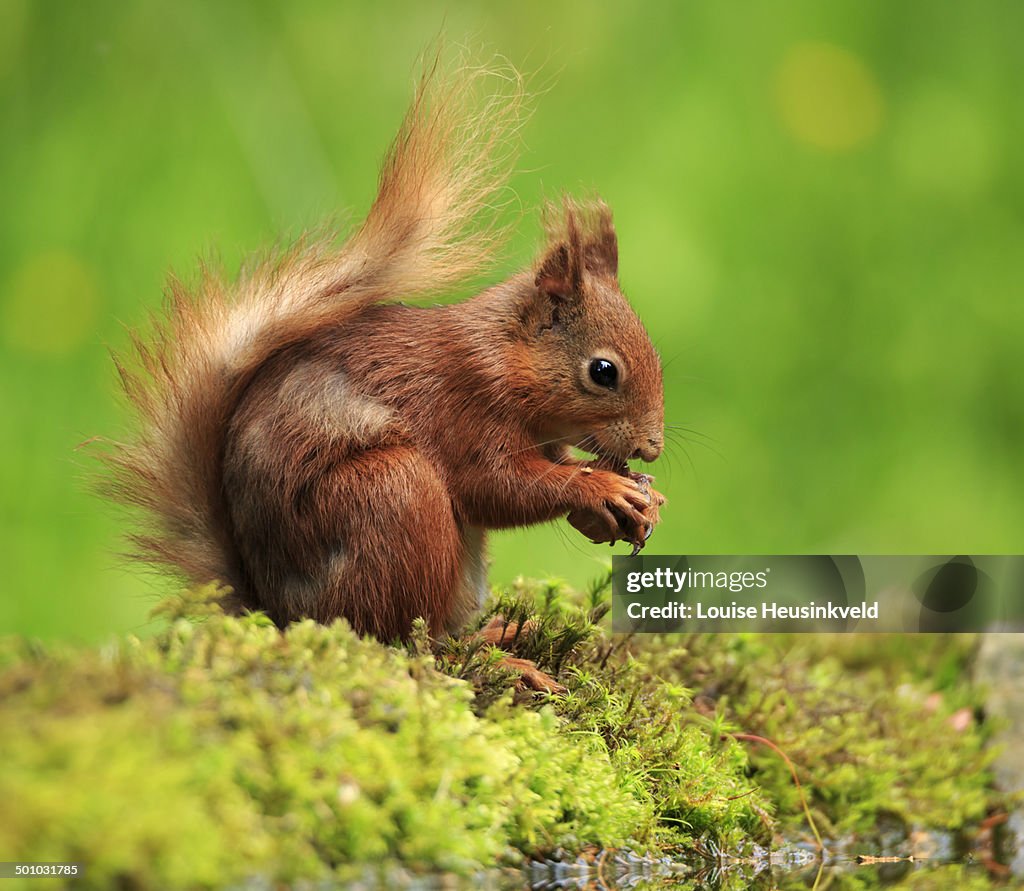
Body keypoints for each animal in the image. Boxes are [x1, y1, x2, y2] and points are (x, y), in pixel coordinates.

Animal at [103, 62, 663, 647]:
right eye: (603, 371)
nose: (651, 449)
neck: (503, 355)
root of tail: (283, 616)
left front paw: (638, 502)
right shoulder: (465, 405)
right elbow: (498, 487)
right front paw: (600, 486)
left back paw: (504, 633)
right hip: (392, 494)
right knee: (408, 640)